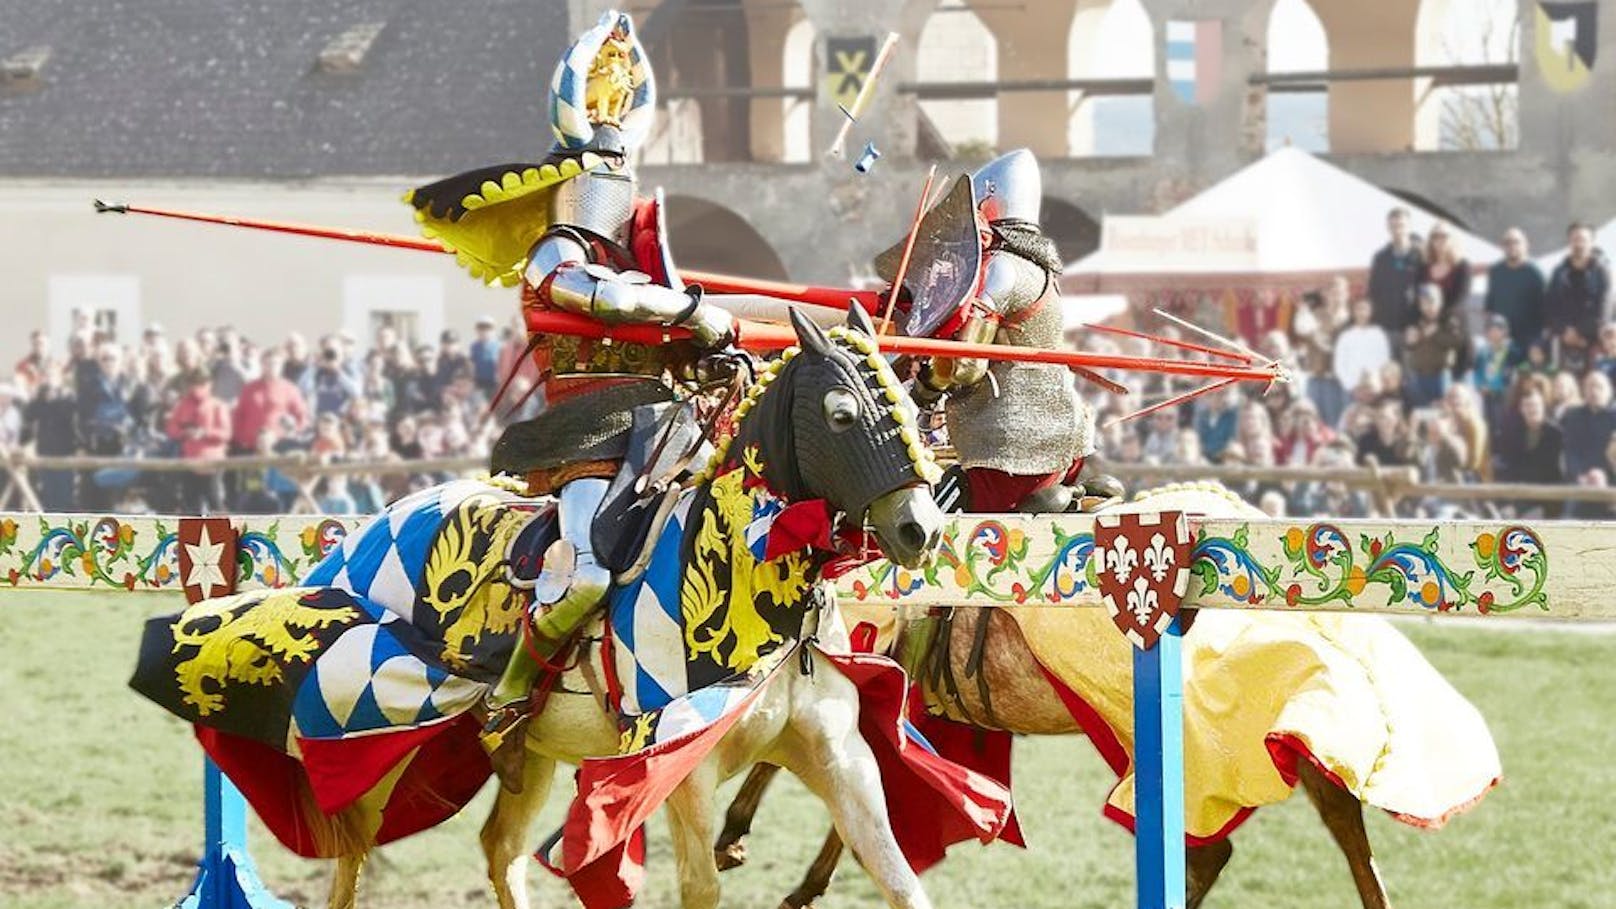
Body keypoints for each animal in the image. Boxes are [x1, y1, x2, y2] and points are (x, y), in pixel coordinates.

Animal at [135, 305, 995, 905]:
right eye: (842, 414)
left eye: (912, 409)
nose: (920, 527)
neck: (745, 577)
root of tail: (374, 523)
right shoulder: (679, 766)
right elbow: (702, 886)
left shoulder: (839, 757)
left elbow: (897, 874)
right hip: (369, 730)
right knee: (353, 854)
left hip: (529, 750)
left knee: (501, 849)